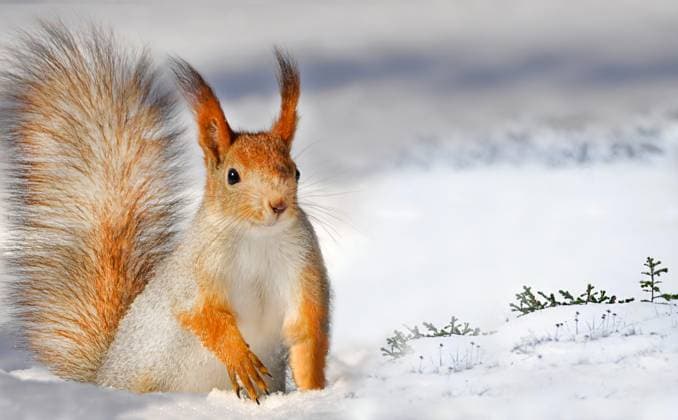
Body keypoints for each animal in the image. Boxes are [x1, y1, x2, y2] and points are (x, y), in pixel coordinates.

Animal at [0, 22, 330, 402]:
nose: (277, 204)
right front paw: (240, 358)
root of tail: (103, 374)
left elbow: (307, 331)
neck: (255, 237)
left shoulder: (303, 266)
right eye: (233, 176)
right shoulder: (194, 273)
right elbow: (201, 315)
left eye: (296, 172)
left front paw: (314, 393)